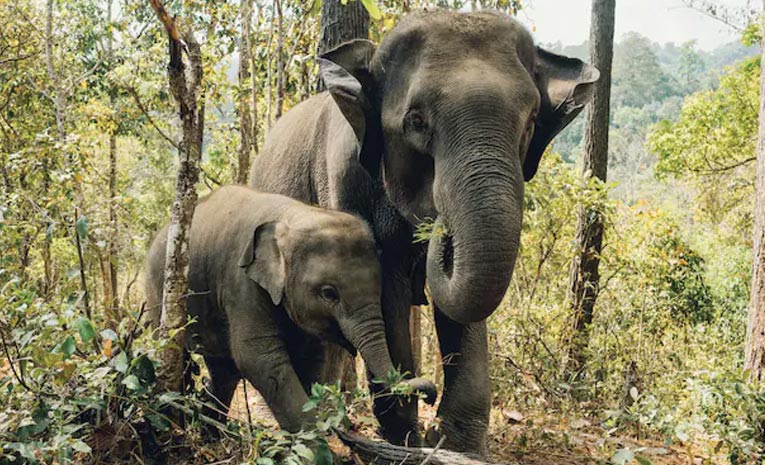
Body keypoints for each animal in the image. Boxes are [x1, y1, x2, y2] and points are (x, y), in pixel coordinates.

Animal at [144, 186, 437, 433]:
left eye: (379, 289)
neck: (293, 216)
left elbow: (312, 358)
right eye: (329, 293)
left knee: (223, 370)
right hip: (159, 293)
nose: (431, 395)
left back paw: (212, 433)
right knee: (177, 353)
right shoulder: (241, 284)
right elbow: (258, 358)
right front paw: (317, 444)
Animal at [250, 10, 598, 453]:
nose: (438, 228)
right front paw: (406, 440)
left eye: (531, 122)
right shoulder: (344, 181)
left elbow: (463, 306)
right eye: (416, 122)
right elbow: (387, 289)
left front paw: (456, 446)